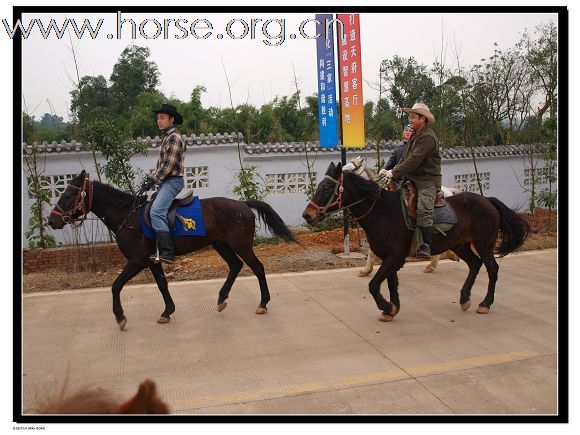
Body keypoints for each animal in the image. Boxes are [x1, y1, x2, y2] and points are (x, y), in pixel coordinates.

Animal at [47, 170, 296, 330]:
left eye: (67, 195)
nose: (52, 220)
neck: (128, 215)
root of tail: (243, 204)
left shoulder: (137, 260)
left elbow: (116, 285)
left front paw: (120, 317)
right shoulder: (152, 260)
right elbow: (162, 285)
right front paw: (167, 312)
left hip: (241, 245)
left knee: (258, 268)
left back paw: (262, 303)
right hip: (221, 244)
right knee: (236, 265)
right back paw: (222, 298)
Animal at [304, 164, 532, 324]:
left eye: (327, 187)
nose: (307, 215)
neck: (382, 212)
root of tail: (488, 201)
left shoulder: (393, 257)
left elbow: (374, 285)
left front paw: (386, 306)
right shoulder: (390, 258)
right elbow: (390, 283)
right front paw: (392, 309)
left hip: (484, 243)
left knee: (492, 268)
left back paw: (485, 303)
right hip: (460, 244)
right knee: (475, 264)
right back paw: (464, 298)